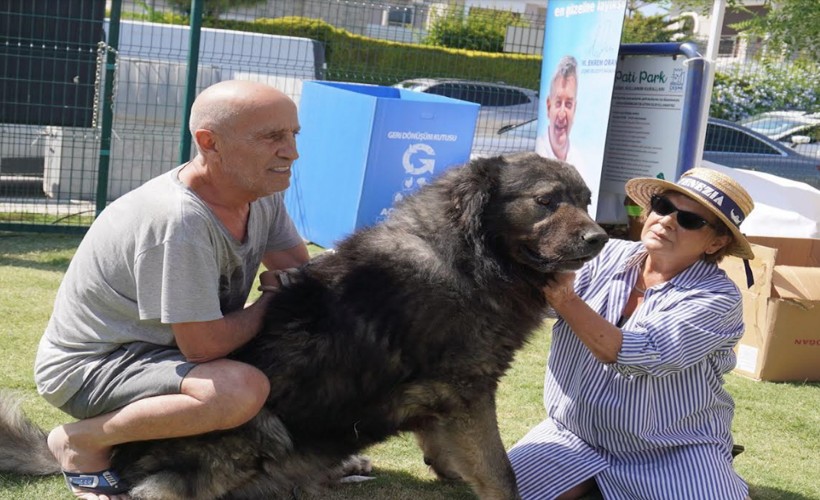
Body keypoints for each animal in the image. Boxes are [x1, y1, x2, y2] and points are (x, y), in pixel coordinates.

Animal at [1, 153, 608, 500]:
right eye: (546, 201)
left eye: (585, 200)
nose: (600, 238)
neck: (463, 253)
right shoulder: (468, 391)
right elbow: (501, 471)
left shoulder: (447, 398)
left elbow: (447, 449)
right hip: (255, 426)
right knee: (164, 489)